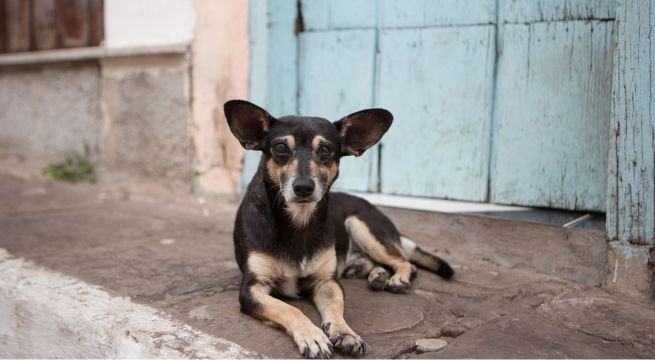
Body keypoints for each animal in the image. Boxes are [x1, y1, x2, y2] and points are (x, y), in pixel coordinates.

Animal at [223, 100, 454, 358]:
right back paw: (378, 275)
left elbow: (336, 306)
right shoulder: (252, 289)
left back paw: (397, 278)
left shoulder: (327, 282)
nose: (303, 187)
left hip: (362, 226)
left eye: (326, 149)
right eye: (280, 147)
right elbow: (289, 309)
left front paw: (345, 333)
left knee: (406, 262)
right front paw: (313, 336)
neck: (298, 221)